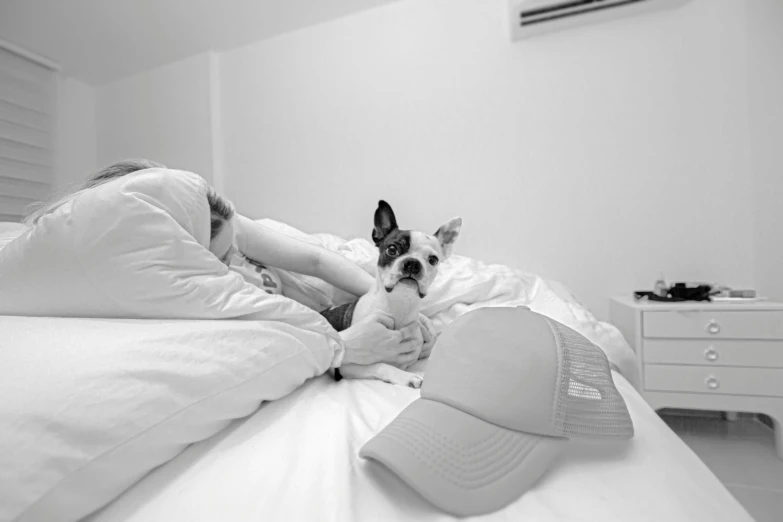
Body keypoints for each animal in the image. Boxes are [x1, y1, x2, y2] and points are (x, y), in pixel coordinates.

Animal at [322, 199, 462, 386]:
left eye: (433, 260)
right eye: (392, 250)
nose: (412, 263)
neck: (399, 302)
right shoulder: (347, 367)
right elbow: (381, 366)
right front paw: (407, 377)